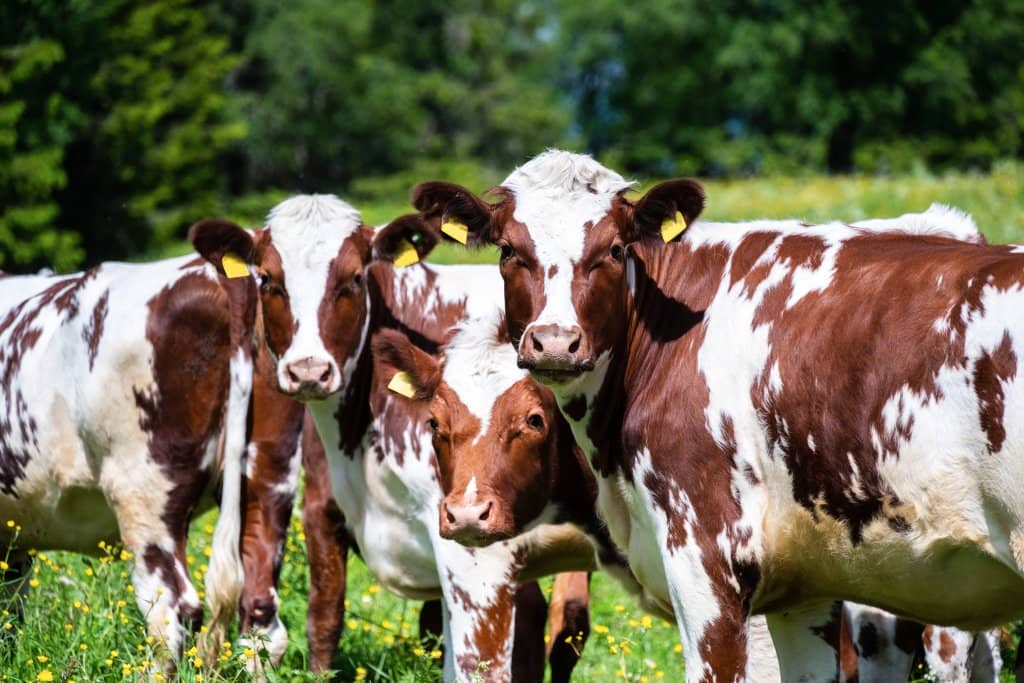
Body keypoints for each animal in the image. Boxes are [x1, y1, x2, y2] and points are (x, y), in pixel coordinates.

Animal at [187, 194, 606, 679]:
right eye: (268, 279)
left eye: (353, 277)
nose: (309, 372)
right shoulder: (324, 508)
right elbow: (325, 621)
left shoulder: (476, 551)